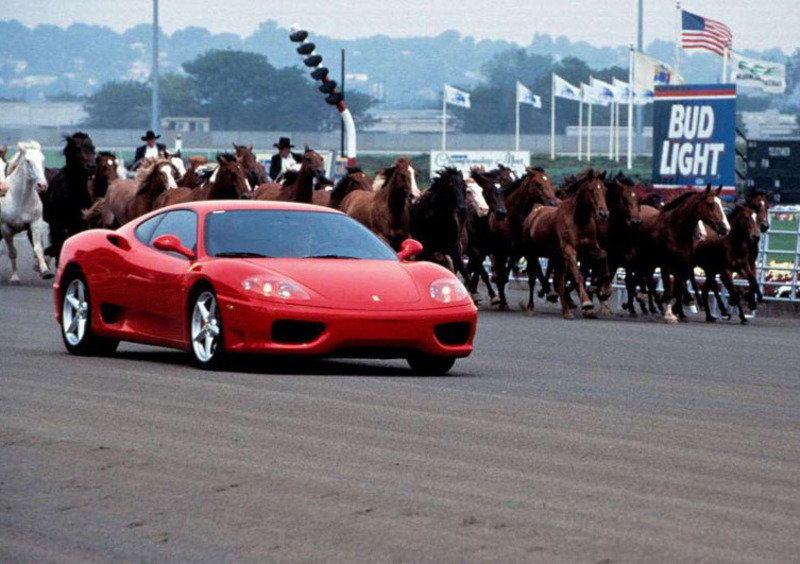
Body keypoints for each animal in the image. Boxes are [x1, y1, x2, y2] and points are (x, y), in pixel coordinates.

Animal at [0, 141, 50, 282]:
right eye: (28, 161)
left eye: (43, 159)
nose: (42, 185)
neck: (20, 199)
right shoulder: (5, 229)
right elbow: (12, 252)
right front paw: (15, 277)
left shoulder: (36, 223)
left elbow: (38, 248)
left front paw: (46, 271)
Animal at [520, 170, 608, 320]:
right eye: (591, 190)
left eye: (604, 190)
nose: (603, 213)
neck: (578, 219)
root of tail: (534, 212)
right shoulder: (570, 250)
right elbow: (578, 276)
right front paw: (587, 303)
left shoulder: (589, 247)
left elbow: (604, 255)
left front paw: (605, 289)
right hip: (531, 254)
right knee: (532, 278)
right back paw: (531, 307)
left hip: (558, 257)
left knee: (559, 281)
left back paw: (566, 311)